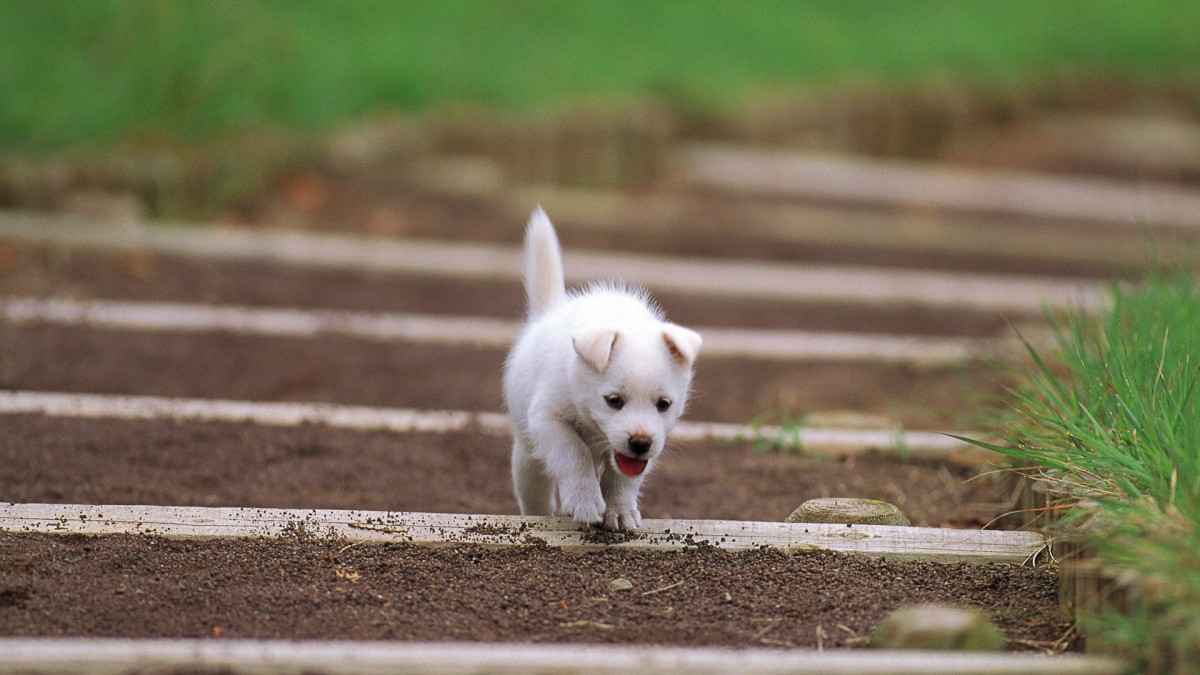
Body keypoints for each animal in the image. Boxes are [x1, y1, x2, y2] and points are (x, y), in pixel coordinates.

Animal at [504, 207, 700, 528]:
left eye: (664, 404)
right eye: (613, 401)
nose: (641, 443)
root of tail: (547, 313)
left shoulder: (645, 448)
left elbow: (622, 478)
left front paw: (619, 510)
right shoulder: (548, 420)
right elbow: (574, 454)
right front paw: (584, 501)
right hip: (527, 456)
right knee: (535, 490)